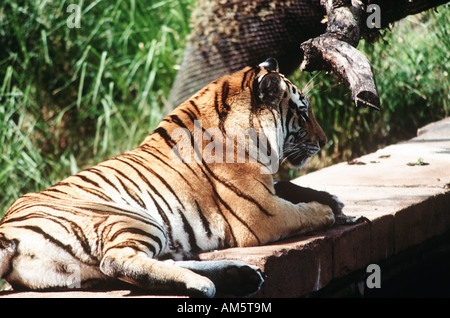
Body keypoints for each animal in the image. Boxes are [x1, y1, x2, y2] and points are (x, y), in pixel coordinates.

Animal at [0, 57, 348, 298]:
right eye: (303, 113)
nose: (324, 141)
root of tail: (7, 232)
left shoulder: (269, 191)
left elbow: (290, 185)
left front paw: (333, 199)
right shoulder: (262, 213)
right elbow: (300, 213)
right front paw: (327, 210)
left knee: (142, 265)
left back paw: (240, 275)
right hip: (129, 216)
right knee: (117, 260)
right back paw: (203, 284)